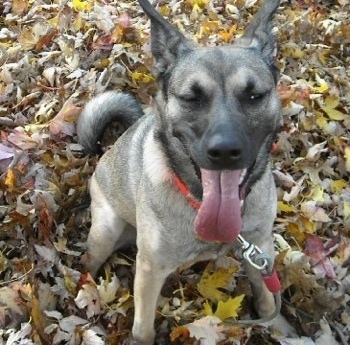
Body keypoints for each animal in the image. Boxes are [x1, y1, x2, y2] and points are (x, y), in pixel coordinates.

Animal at [77, 0, 284, 342]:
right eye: (191, 98)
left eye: (255, 96)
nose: (225, 152)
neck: (198, 201)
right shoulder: (150, 271)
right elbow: (143, 330)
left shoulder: (260, 247)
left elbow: (267, 299)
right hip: (106, 231)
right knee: (87, 266)